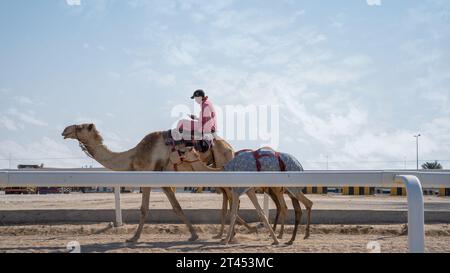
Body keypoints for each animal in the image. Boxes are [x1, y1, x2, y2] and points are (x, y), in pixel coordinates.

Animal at [61, 122, 255, 241]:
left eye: (80, 127)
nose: (65, 130)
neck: (132, 156)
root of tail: (230, 147)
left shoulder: (147, 175)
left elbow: (144, 208)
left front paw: (134, 237)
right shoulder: (163, 181)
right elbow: (176, 207)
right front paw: (194, 235)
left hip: (222, 164)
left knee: (233, 196)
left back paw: (236, 232)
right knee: (230, 196)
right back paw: (231, 232)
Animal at [179, 147, 312, 244]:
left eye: (185, 150)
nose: (180, 155)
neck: (225, 170)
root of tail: (300, 165)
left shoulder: (237, 190)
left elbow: (233, 213)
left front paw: (226, 240)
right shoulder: (248, 190)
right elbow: (260, 213)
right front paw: (274, 240)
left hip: (289, 187)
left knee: (304, 204)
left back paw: (296, 237)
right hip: (282, 188)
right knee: (290, 206)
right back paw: (293, 236)